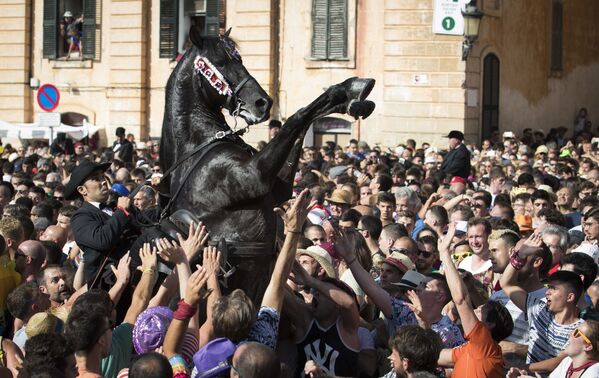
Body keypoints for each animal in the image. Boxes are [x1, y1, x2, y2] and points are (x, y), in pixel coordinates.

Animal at [159, 27, 376, 302]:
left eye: (240, 59)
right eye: (220, 62)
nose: (263, 103)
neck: (198, 143)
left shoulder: (278, 187)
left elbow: (303, 123)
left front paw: (354, 95)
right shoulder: (254, 176)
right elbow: (298, 116)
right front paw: (346, 90)